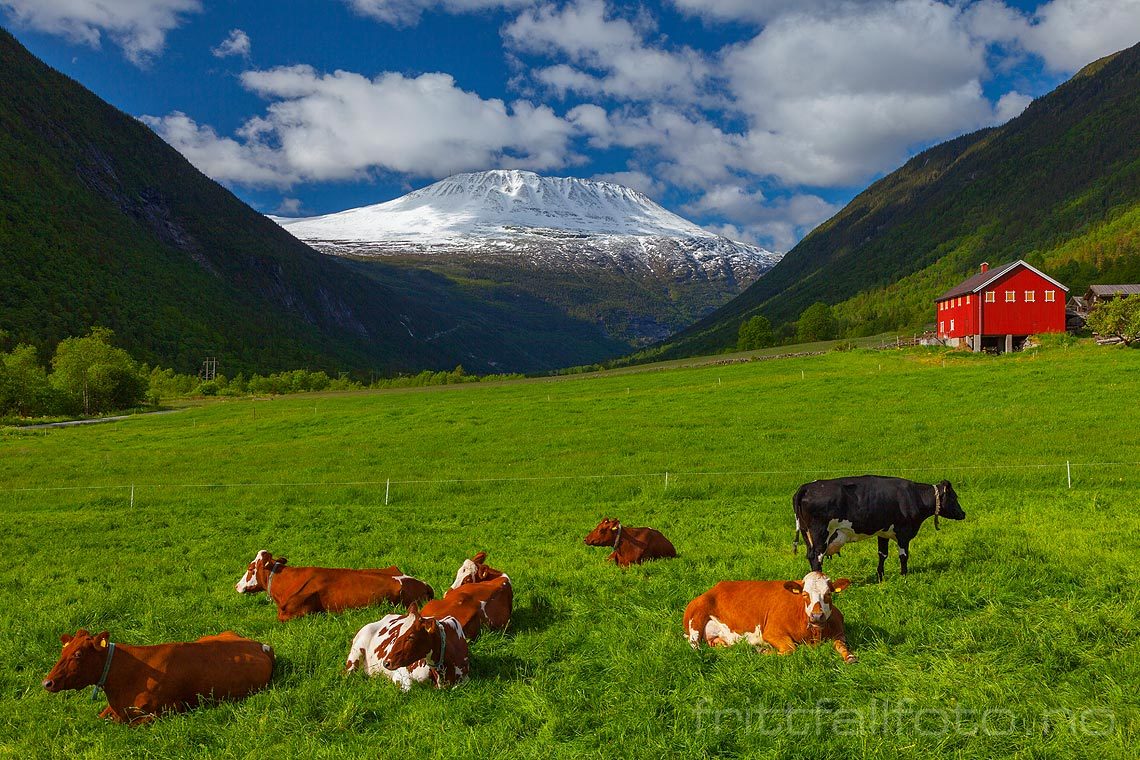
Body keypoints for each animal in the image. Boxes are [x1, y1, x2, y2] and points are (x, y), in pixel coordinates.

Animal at [674, 574, 857, 660]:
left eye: (828, 594)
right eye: (805, 595)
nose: (817, 616)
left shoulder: (839, 633)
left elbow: (842, 645)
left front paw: (850, 657)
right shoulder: (772, 632)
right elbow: (790, 649)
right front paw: (763, 650)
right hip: (696, 618)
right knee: (695, 647)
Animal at [798, 476, 966, 583]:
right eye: (954, 497)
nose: (963, 513)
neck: (914, 496)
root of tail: (807, 487)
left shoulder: (883, 532)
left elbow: (882, 554)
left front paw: (880, 577)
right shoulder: (904, 533)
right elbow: (904, 556)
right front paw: (904, 576)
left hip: (807, 535)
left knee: (810, 556)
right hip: (820, 534)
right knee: (816, 558)